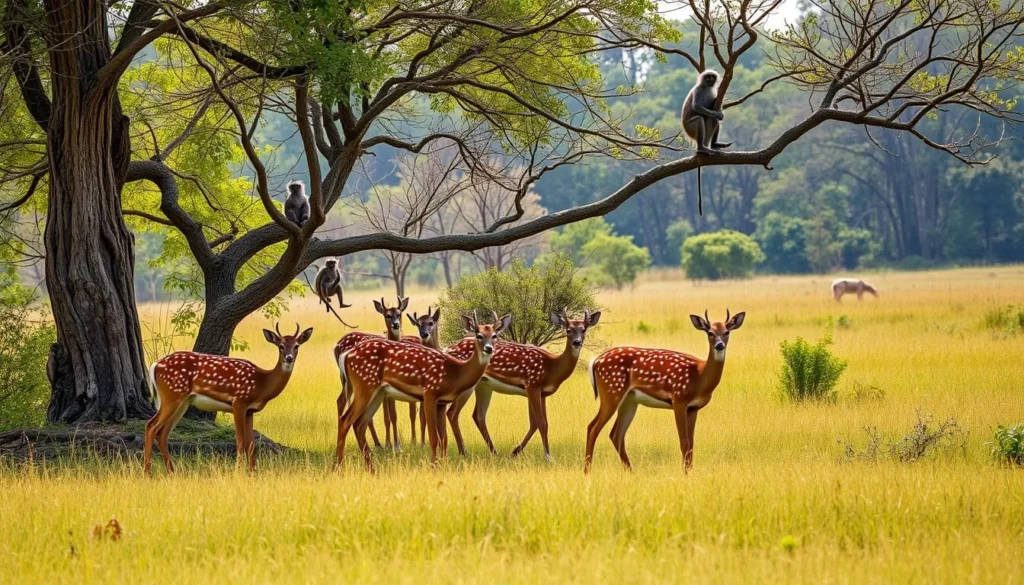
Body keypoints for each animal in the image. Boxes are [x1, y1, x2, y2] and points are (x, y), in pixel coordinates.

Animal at [144, 323, 313, 475]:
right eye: (281, 346)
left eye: (297, 346)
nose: (289, 358)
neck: (262, 383)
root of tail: (155, 365)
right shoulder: (239, 402)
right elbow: (240, 441)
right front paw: (238, 472)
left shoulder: (250, 410)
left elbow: (251, 444)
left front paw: (253, 473)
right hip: (172, 395)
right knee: (151, 425)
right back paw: (148, 473)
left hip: (183, 401)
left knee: (163, 433)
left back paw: (172, 472)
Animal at [336, 311, 510, 471]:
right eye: (479, 335)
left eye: (494, 335)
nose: (489, 348)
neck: (456, 373)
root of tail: (346, 355)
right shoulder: (430, 393)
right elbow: (433, 438)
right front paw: (433, 467)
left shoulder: (442, 402)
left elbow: (444, 437)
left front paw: (443, 466)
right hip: (364, 385)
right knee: (346, 419)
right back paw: (338, 467)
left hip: (377, 392)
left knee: (359, 424)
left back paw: (371, 469)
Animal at [445, 309, 601, 461]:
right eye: (568, 330)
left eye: (584, 329)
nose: (576, 342)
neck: (552, 367)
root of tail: (447, 348)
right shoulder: (533, 385)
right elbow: (541, 423)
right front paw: (548, 456)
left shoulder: (541, 393)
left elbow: (536, 424)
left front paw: (516, 451)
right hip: (468, 383)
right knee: (452, 412)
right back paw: (463, 452)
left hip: (484, 385)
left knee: (478, 415)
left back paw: (494, 452)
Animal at [585, 310, 745, 473]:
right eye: (710, 332)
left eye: (727, 332)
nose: (719, 345)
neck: (699, 377)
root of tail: (594, 361)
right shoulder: (679, 399)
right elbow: (684, 442)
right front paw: (685, 473)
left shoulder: (693, 408)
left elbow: (691, 443)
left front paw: (690, 472)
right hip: (611, 390)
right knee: (593, 427)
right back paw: (587, 472)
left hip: (629, 400)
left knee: (616, 434)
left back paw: (631, 472)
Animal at [681, 69, 731, 216]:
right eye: (708, 77)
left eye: (712, 77)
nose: (710, 80)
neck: (707, 87)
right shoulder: (699, 90)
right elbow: (697, 107)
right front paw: (716, 113)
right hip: (690, 128)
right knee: (700, 119)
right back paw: (702, 148)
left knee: (716, 122)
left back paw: (714, 145)